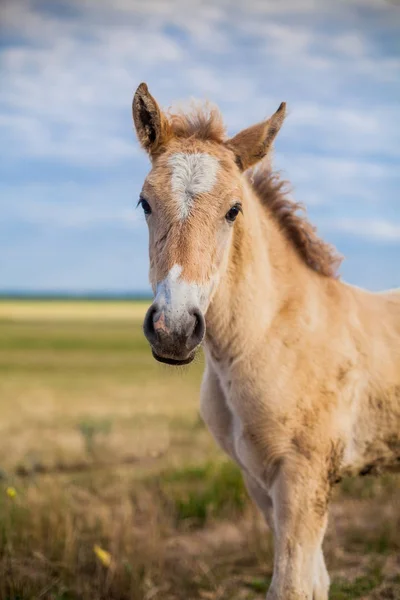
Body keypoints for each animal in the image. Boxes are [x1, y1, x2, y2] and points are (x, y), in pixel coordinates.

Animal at [132, 84, 400, 600]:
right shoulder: (258, 479)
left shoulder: (305, 479)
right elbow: (316, 582)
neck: (272, 336)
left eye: (233, 210)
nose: (174, 329)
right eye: (145, 203)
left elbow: (292, 586)